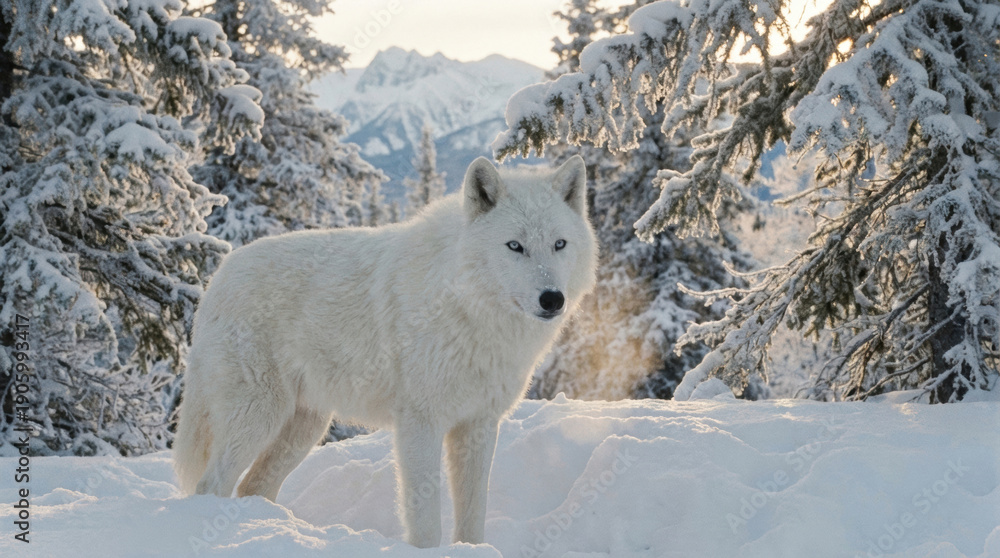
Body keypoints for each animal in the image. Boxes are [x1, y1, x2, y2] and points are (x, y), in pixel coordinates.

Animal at [173, 155, 597, 548]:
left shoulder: (478, 425)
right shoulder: (420, 424)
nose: (552, 299)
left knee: (252, 486)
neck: (467, 306)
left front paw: (471, 549)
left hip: (305, 428)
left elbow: (473, 514)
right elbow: (425, 522)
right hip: (259, 416)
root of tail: (220, 275)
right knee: (211, 484)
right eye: (515, 246)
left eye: (559, 244)